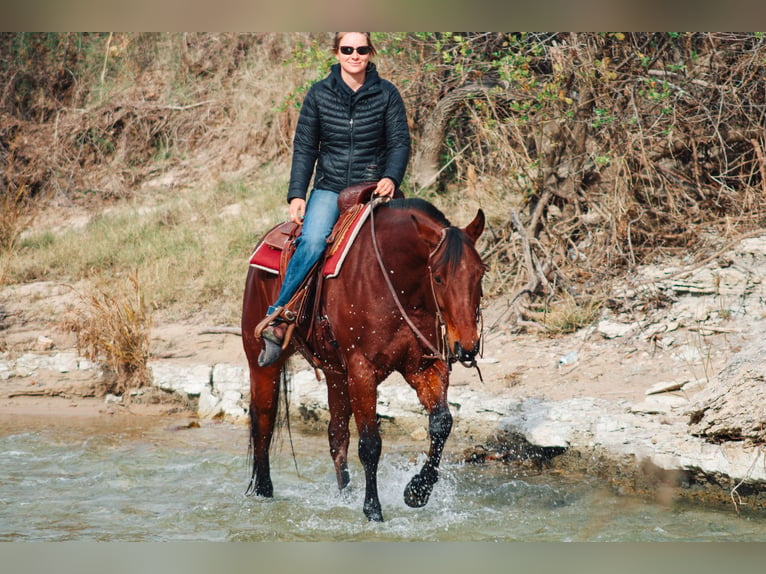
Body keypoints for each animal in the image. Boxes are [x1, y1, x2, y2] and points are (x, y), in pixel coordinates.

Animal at [242, 192, 486, 520]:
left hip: (335, 373)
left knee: (337, 435)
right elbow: (370, 443)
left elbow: (441, 424)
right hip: (263, 363)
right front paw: (373, 510)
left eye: (480, 272)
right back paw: (264, 492)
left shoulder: (423, 367)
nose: (467, 346)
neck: (397, 283)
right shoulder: (362, 370)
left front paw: (417, 491)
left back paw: (345, 495)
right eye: (437, 278)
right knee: (264, 421)